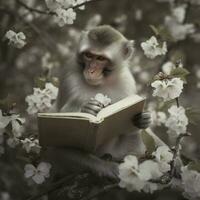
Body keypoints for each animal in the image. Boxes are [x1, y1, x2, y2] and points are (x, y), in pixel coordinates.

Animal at [43, 25, 150, 180]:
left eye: (101, 58)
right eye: (88, 55)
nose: (91, 70)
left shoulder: (127, 82)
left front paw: (143, 119)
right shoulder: (70, 75)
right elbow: (62, 117)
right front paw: (87, 110)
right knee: (60, 145)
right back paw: (104, 166)